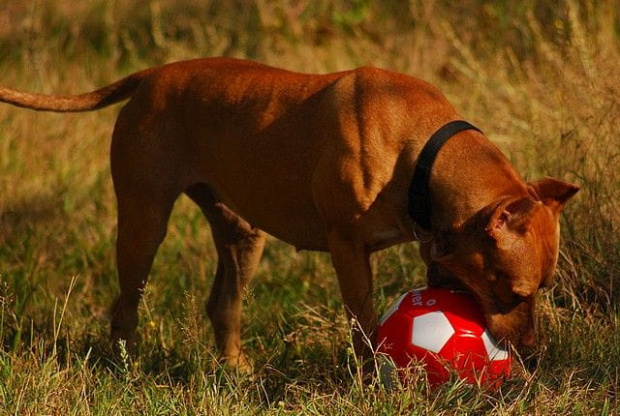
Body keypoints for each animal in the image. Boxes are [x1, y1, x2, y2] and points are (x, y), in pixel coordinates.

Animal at [0, 57, 580, 368]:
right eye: (513, 293)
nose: (532, 354)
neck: (424, 151)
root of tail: (153, 74)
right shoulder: (348, 251)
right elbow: (365, 325)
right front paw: (374, 378)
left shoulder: (436, 249)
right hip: (143, 224)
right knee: (125, 307)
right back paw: (125, 369)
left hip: (242, 235)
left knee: (223, 303)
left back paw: (234, 371)